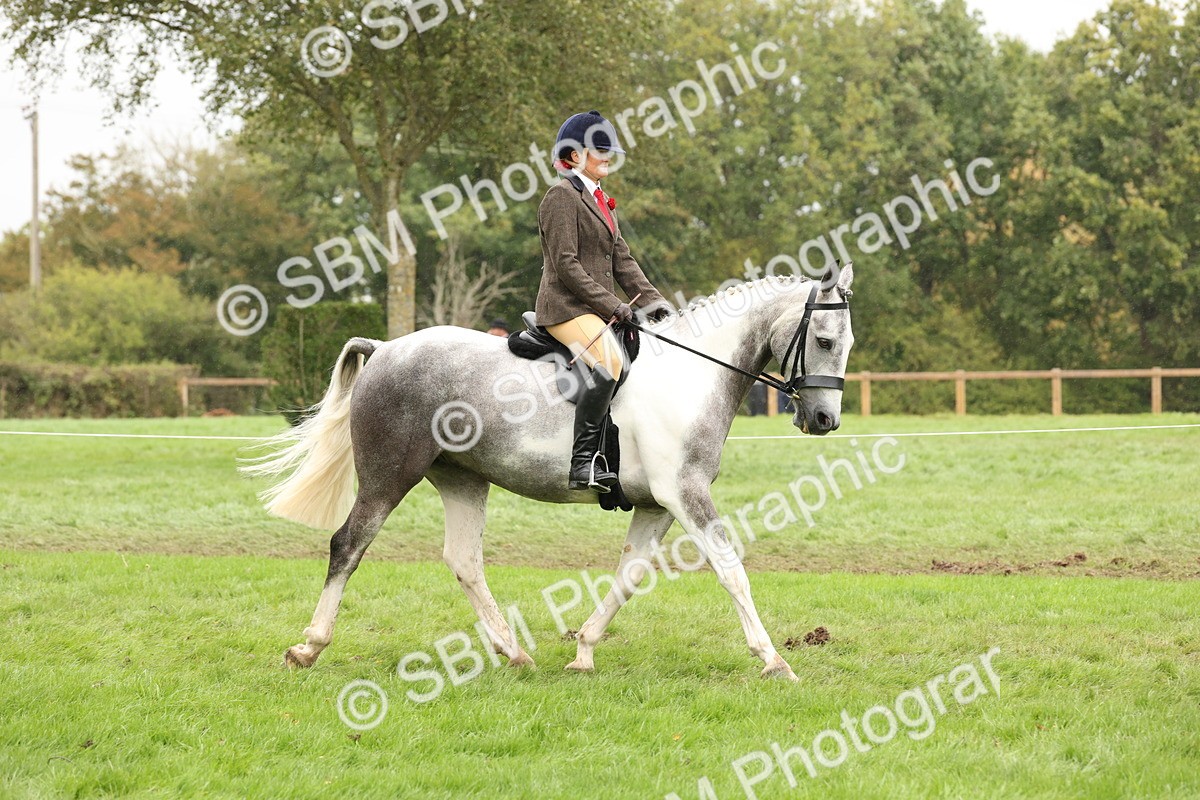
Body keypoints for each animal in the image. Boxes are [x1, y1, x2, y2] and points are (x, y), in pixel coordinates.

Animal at [243, 265, 854, 681]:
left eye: (846, 343)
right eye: (825, 340)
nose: (825, 420)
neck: (693, 373)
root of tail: (388, 347)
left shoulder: (655, 504)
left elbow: (629, 576)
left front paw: (583, 651)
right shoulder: (684, 494)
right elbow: (731, 570)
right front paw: (773, 660)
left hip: (463, 479)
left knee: (464, 560)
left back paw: (513, 653)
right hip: (389, 475)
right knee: (349, 544)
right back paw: (309, 646)